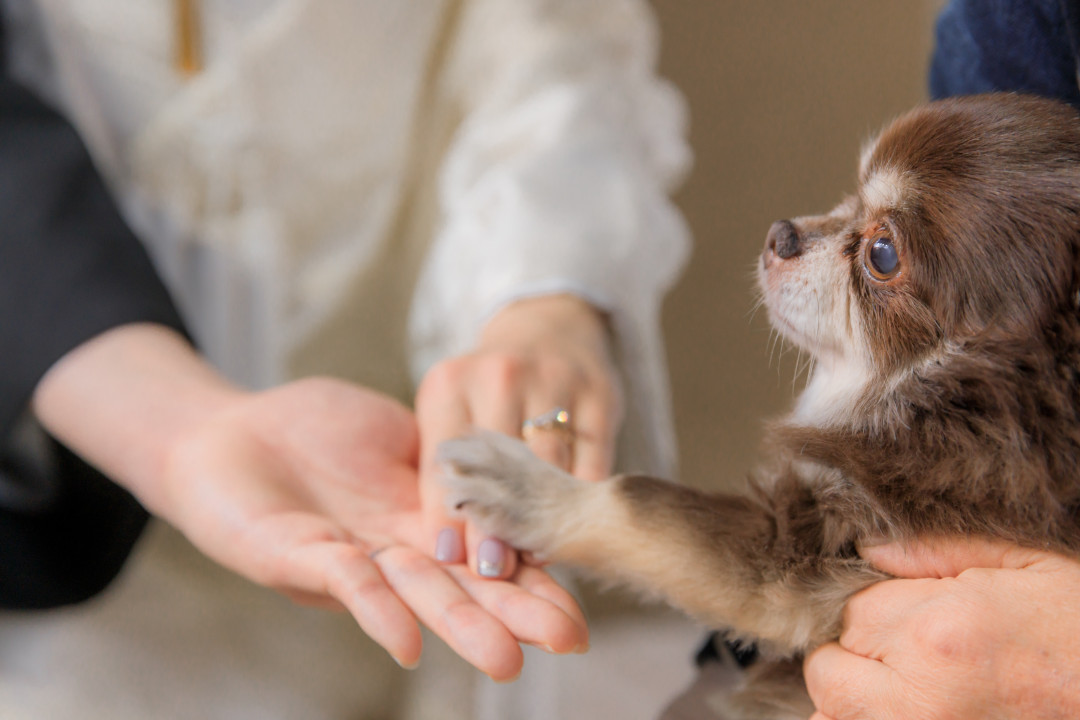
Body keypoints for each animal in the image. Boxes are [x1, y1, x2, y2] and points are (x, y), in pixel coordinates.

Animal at [434, 95, 1080, 720]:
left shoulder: (813, 547)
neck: (961, 395)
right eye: (851, 194)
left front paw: (531, 487)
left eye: (883, 254)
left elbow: (640, 503)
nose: (781, 234)